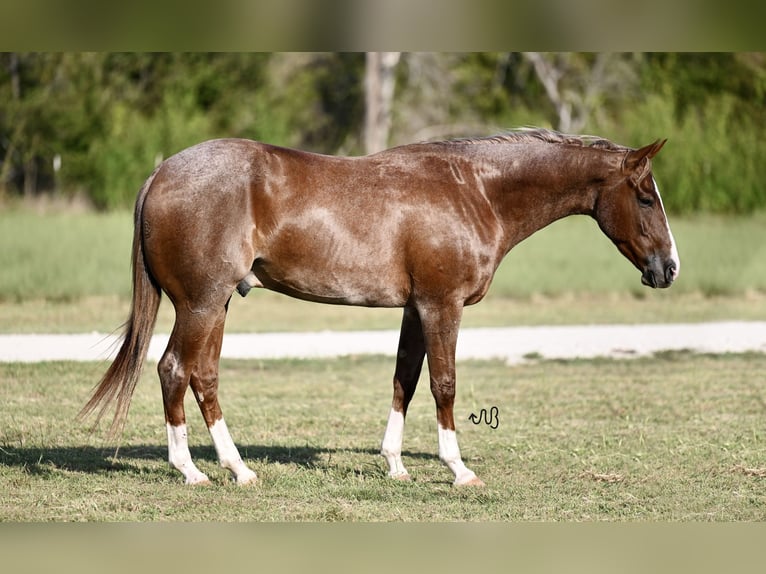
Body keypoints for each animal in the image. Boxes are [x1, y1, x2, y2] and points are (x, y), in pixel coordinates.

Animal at [82, 129, 680, 486]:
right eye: (645, 196)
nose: (669, 268)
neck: (476, 190)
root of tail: (162, 173)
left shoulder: (415, 310)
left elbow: (405, 381)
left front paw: (395, 465)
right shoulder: (441, 306)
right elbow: (444, 384)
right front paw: (458, 469)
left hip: (218, 305)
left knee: (203, 376)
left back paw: (239, 468)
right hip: (201, 304)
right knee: (173, 370)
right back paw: (191, 471)